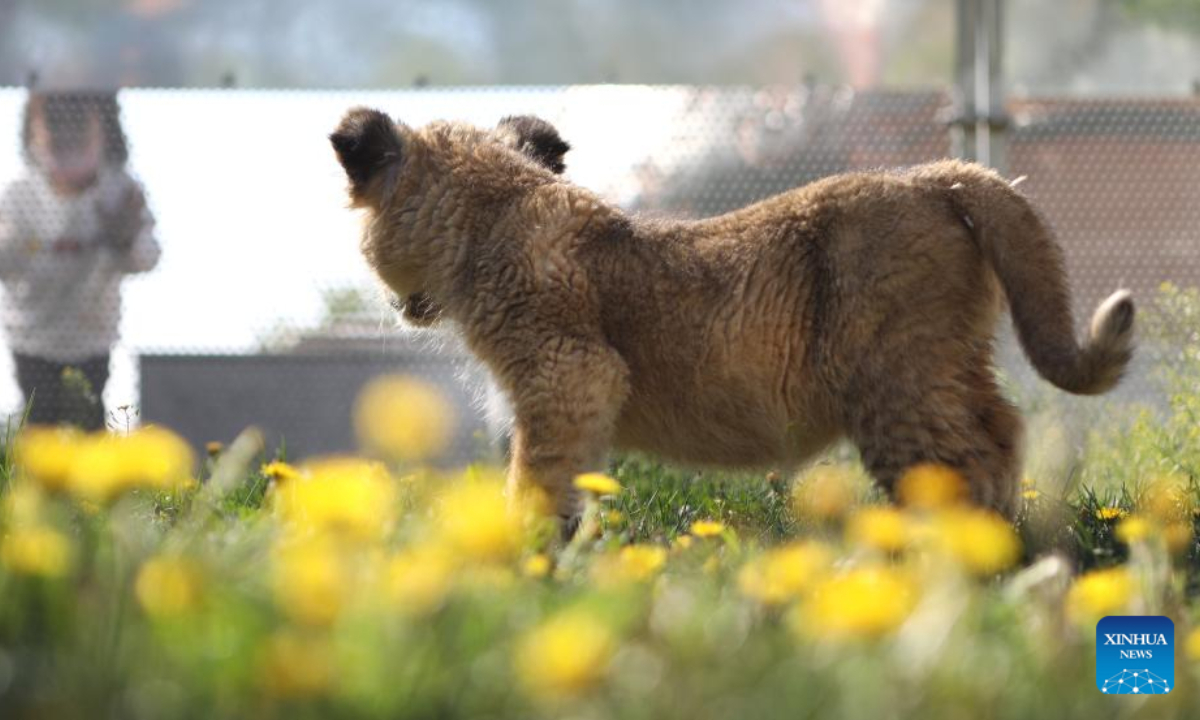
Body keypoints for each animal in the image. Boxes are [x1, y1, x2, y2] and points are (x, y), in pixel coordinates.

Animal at [330, 107, 1134, 530]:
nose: (399, 307)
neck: (494, 210)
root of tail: (941, 174)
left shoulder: (571, 374)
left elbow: (539, 475)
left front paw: (527, 561)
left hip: (897, 379)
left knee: (962, 466)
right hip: (948, 364)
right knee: (1003, 432)